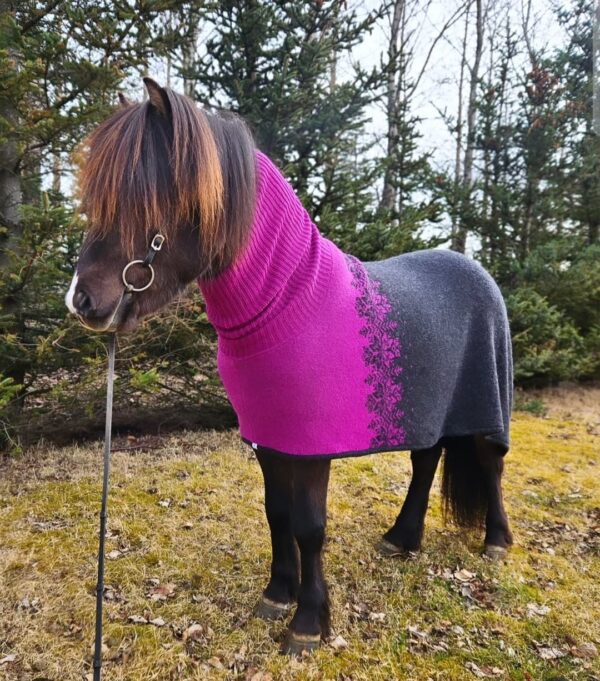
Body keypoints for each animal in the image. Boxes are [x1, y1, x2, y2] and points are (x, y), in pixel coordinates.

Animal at [66, 78, 513, 655]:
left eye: (151, 197)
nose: (82, 301)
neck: (283, 301)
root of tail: (476, 268)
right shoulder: (269, 437)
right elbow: (276, 511)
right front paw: (277, 595)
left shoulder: (311, 446)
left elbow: (309, 525)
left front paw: (307, 623)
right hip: (428, 409)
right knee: (426, 459)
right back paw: (401, 538)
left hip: (486, 403)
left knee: (490, 463)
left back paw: (496, 542)